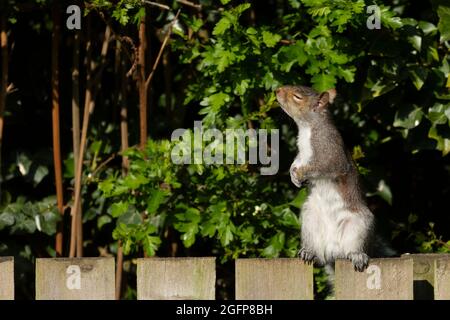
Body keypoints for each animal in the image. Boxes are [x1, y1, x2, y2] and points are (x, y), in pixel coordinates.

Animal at [276, 85, 392, 272]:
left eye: (298, 97)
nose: (277, 90)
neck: (307, 128)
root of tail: (333, 253)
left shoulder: (331, 152)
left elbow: (323, 167)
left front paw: (301, 174)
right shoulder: (302, 154)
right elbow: (297, 162)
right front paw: (293, 175)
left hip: (359, 225)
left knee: (353, 247)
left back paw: (357, 255)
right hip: (310, 220)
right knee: (318, 253)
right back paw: (309, 252)